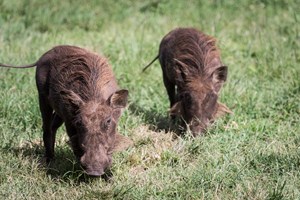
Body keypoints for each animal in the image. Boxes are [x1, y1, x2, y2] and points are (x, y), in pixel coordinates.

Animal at [0, 45, 130, 175]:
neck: (93, 97)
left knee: (52, 126)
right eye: (79, 122)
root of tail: (44, 55)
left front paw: (108, 176)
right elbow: (76, 147)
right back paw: (49, 162)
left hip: (59, 111)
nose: (94, 171)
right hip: (42, 98)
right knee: (46, 128)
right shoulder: (69, 122)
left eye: (108, 121)